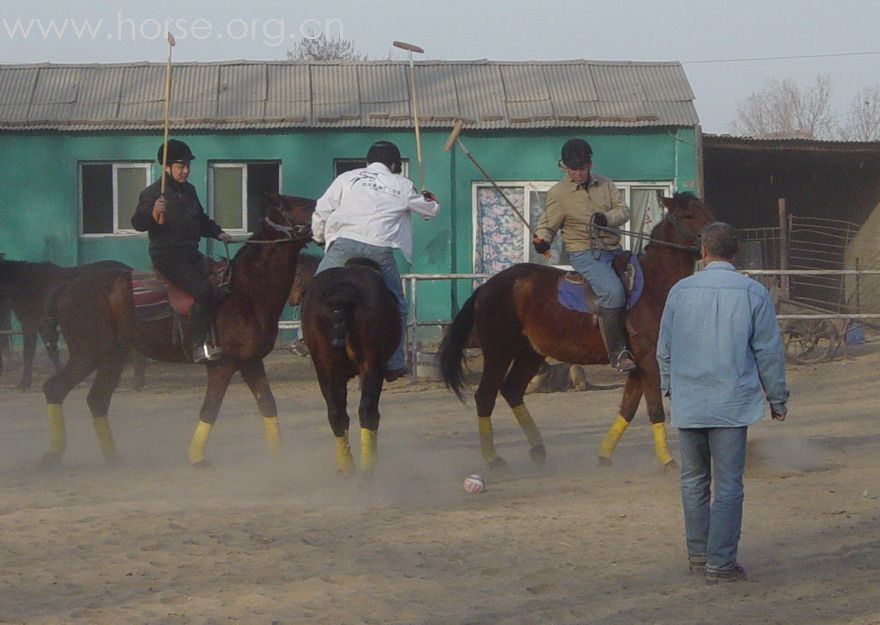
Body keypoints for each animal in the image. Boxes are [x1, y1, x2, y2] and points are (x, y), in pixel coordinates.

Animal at [42, 195, 316, 468]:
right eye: (303, 205)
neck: (244, 291)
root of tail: (68, 285)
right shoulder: (223, 364)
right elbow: (210, 408)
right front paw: (197, 458)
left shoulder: (251, 361)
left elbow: (267, 404)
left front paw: (278, 460)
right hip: (88, 355)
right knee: (55, 389)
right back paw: (53, 455)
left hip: (114, 355)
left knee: (97, 399)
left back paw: (112, 457)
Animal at [300, 258, 400, 472]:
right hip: (371, 366)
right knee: (368, 412)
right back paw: (368, 468)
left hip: (326, 369)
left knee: (337, 415)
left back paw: (347, 468)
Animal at [436, 193, 712, 470]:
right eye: (688, 215)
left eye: (705, 209)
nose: (714, 236)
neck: (653, 284)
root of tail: (488, 286)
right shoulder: (648, 361)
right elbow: (655, 408)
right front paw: (668, 461)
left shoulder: (636, 366)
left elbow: (628, 408)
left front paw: (604, 456)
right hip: (499, 351)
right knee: (485, 396)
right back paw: (494, 459)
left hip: (529, 354)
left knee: (512, 390)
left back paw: (538, 449)